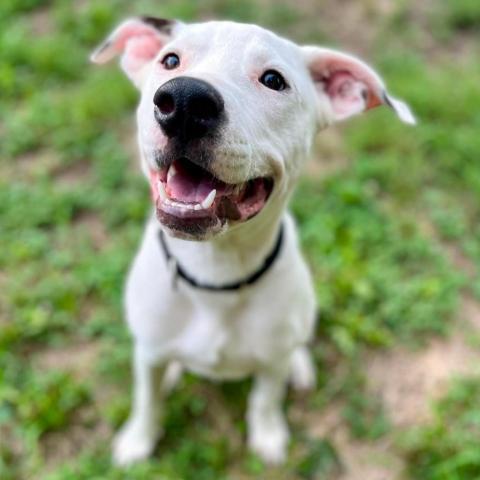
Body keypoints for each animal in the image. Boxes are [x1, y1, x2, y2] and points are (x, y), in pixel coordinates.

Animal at [90, 16, 412, 466]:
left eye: (273, 80)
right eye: (170, 60)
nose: (185, 100)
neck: (215, 272)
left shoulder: (271, 362)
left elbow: (265, 398)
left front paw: (269, 437)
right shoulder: (148, 351)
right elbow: (147, 398)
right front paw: (138, 440)